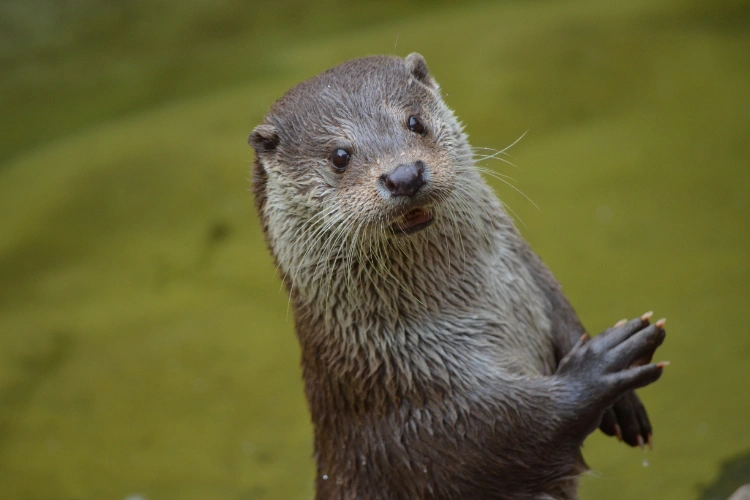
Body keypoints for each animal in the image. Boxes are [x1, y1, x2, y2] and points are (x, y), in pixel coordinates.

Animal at [248, 53, 667, 500]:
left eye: (415, 122)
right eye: (339, 156)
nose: (404, 175)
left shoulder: (533, 278)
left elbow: (563, 312)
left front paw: (625, 403)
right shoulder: (415, 419)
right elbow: (504, 436)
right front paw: (602, 366)